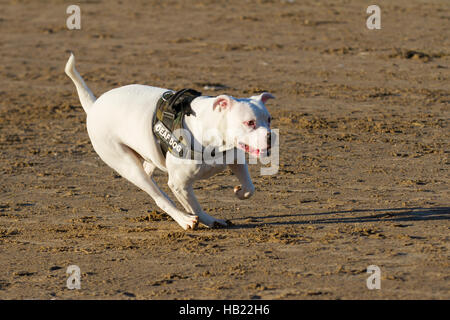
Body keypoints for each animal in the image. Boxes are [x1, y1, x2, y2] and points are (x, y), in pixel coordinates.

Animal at [64, 54, 272, 230]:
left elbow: (250, 187)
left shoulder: (236, 159)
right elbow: (195, 206)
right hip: (127, 165)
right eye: (250, 122)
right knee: (160, 197)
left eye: (269, 120)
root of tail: (94, 106)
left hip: (146, 157)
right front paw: (207, 220)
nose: (270, 136)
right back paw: (184, 219)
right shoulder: (179, 184)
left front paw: (240, 192)